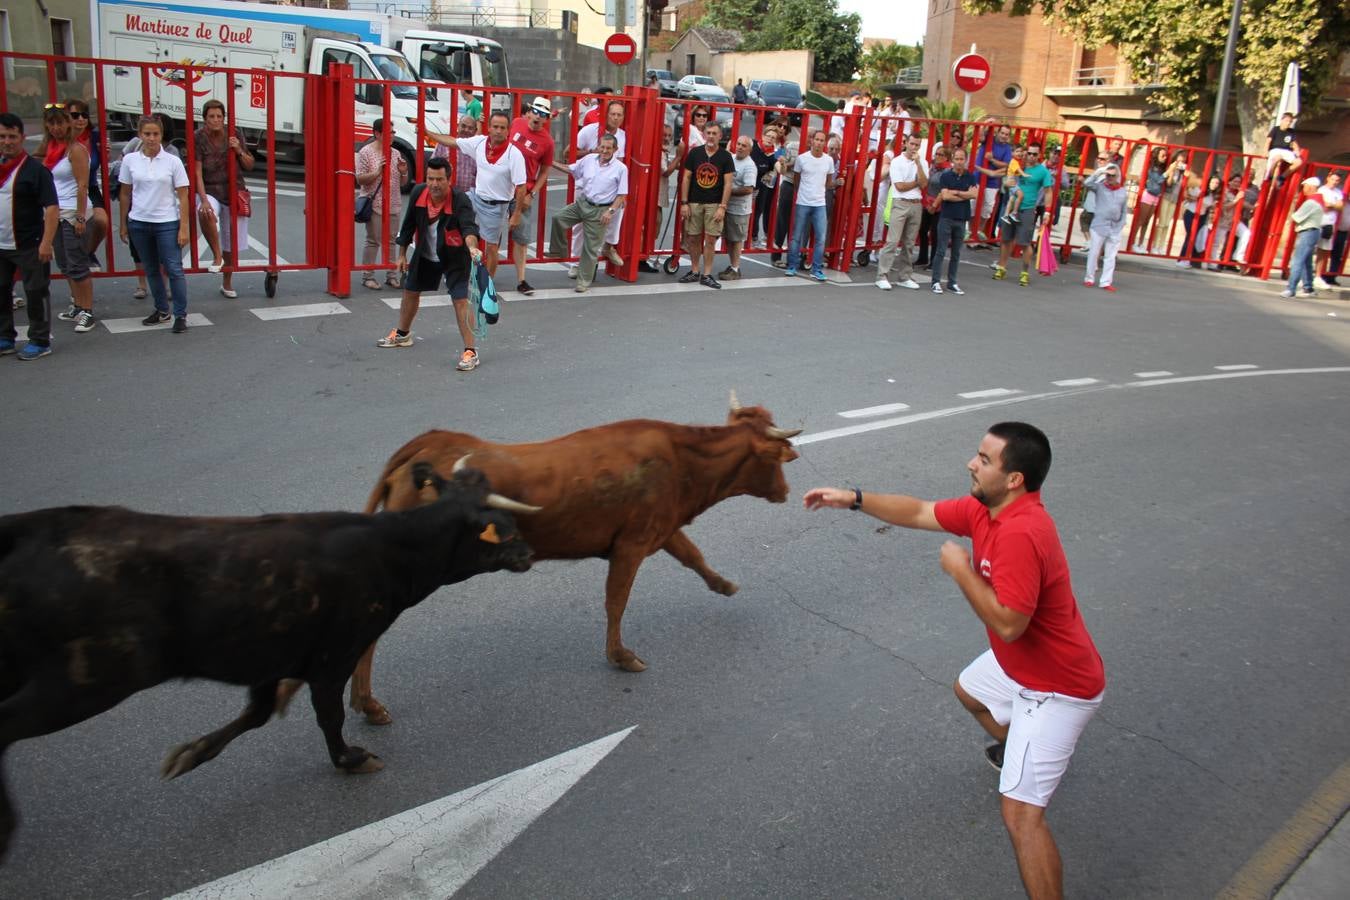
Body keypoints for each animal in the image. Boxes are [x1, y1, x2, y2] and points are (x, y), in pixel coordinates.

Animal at [345, 394, 799, 723]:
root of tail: (429, 442)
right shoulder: (631, 545)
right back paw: (368, 705)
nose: (786, 491)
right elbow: (617, 601)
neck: (682, 459)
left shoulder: (661, 530)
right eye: (777, 457)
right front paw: (621, 656)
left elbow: (694, 556)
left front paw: (725, 584)